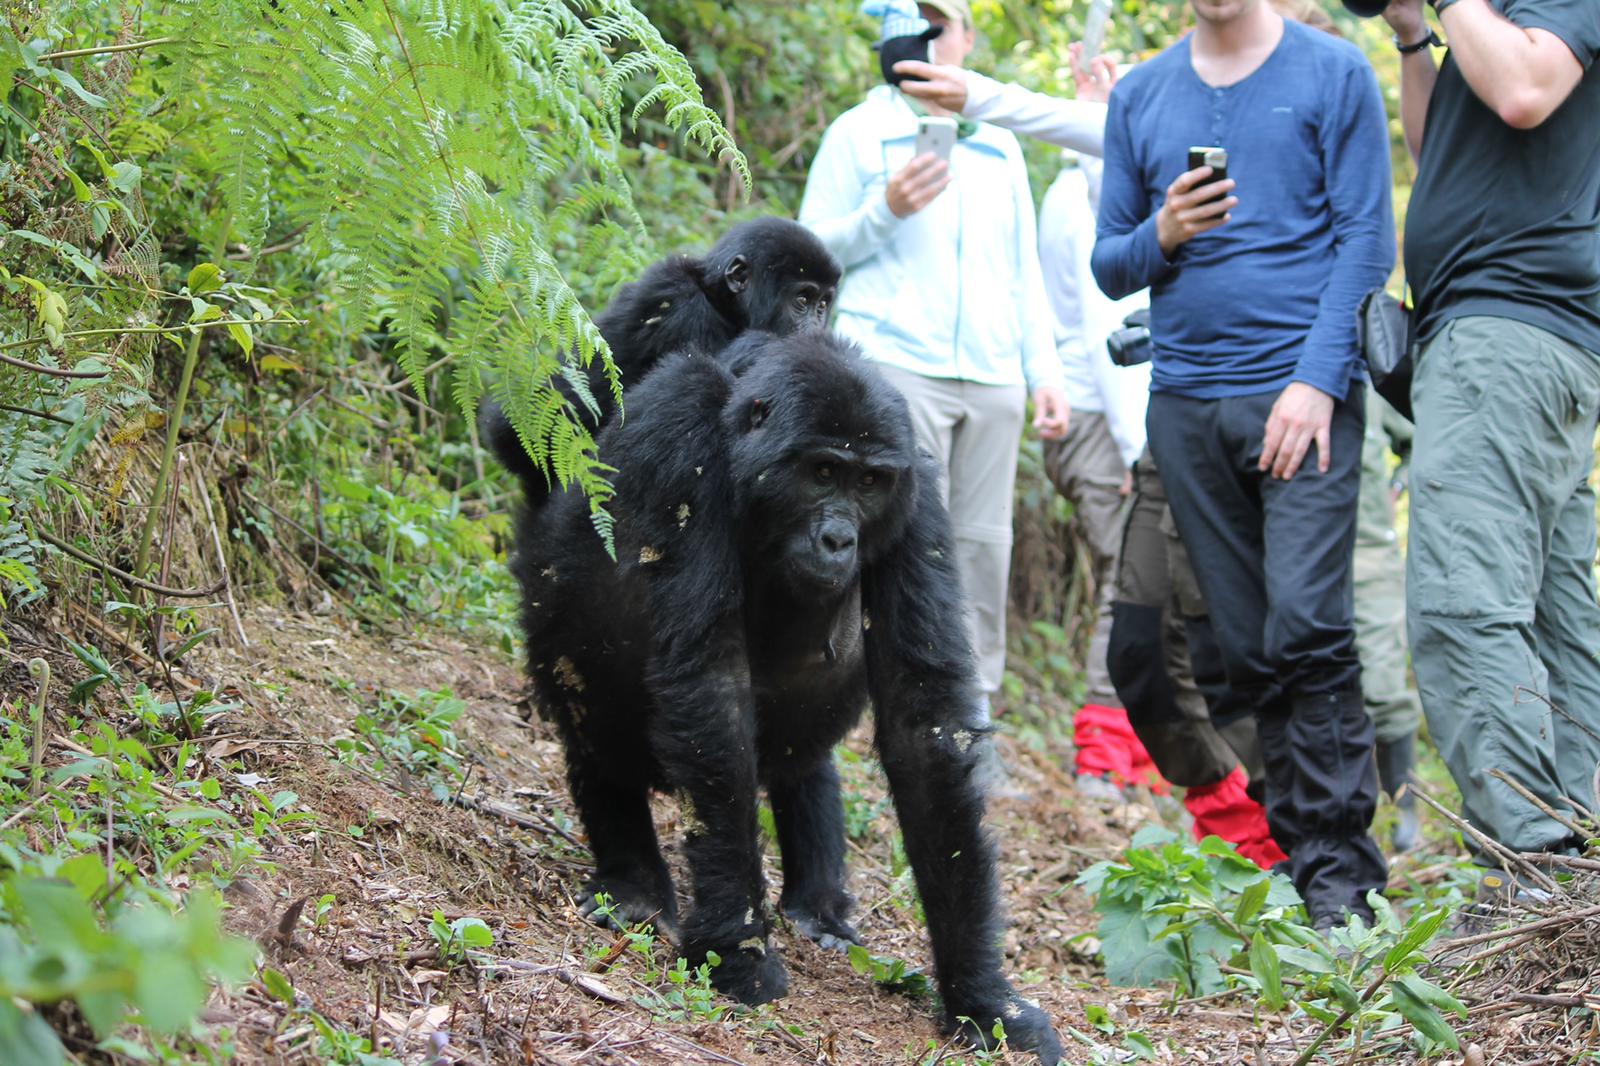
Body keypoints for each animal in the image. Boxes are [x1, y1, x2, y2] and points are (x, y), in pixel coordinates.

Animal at [486, 329, 1062, 1056]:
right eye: (822, 473)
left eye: (868, 482)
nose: (839, 538)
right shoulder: (684, 437)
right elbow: (711, 687)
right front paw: (737, 950)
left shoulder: (919, 499)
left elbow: (923, 726)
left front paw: (981, 996)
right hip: (543, 581)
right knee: (595, 707)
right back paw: (633, 882)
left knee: (803, 759)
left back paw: (815, 903)